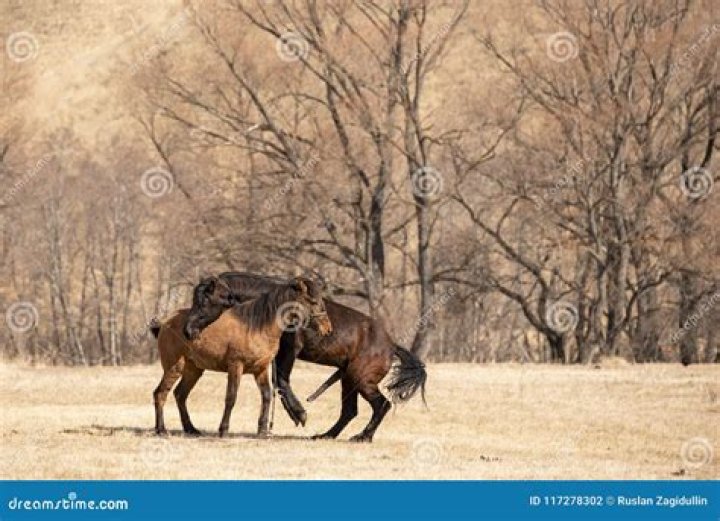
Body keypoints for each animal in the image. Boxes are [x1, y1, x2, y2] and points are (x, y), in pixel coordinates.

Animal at [150, 277, 332, 437]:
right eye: (313, 302)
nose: (327, 328)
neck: (257, 326)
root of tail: (165, 323)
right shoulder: (235, 366)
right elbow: (231, 397)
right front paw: (223, 430)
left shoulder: (261, 369)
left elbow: (267, 395)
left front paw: (262, 430)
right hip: (174, 367)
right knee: (160, 394)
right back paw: (162, 430)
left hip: (193, 370)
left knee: (180, 395)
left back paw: (191, 429)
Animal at [185, 272, 427, 442]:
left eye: (205, 301)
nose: (187, 331)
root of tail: (391, 345)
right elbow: (277, 383)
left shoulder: (289, 350)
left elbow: (281, 380)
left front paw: (298, 413)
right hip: (349, 380)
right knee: (350, 411)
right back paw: (326, 435)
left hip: (361, 380)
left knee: (381, 405)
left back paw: (363, 437)